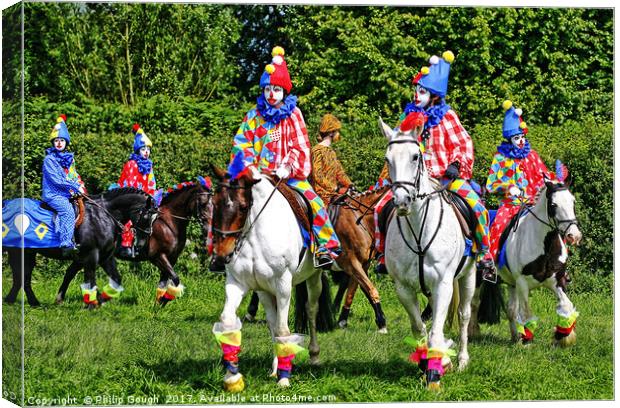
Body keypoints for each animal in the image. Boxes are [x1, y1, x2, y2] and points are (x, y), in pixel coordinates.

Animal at [56, 179, 216, 306]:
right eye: (203, 203)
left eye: (213, 204)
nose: (209, 228)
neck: (169, 223)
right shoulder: (158, 257)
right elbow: (175, 279)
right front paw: (164, 300)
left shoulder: (172, 258)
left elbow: (165, 282)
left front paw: (159, 304)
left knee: (70, 272)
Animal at [209, 166, 326, 392]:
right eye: (215, 203)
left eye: (243, 206)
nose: (221, 257)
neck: (254, 235)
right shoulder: (237, 283)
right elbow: (228, 322)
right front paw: (232, 377)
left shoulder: (283, 284)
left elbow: (283, 328)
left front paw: (284, 379)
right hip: (264, 291)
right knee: (273, 322)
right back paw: (274, 368)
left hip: (313, 278)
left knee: (311, 310)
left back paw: (314, 355)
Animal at [378, 114, 474, 388]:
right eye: (387, 159)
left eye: (415, 156)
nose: (401, 201)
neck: (419, 233)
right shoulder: (404, 288)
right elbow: (420, 328)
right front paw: (427, 364)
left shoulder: (443, 284)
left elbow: (436, 331)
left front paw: (435, 373)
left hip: (468, 276)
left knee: (464, 315)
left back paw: (462, 359)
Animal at [472, 176, 584, 348]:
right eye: (553, 204)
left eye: (573, 202)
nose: (574, 236)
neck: (545, 248)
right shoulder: (522, 283)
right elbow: (526, 313)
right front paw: (527, 341)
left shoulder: (557, 281)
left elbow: (566, 305)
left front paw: (563, 336)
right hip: (479, 277)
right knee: (474, 303)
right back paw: (473, 332)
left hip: (510, 283)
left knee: (510, 310)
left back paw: (514, 337)